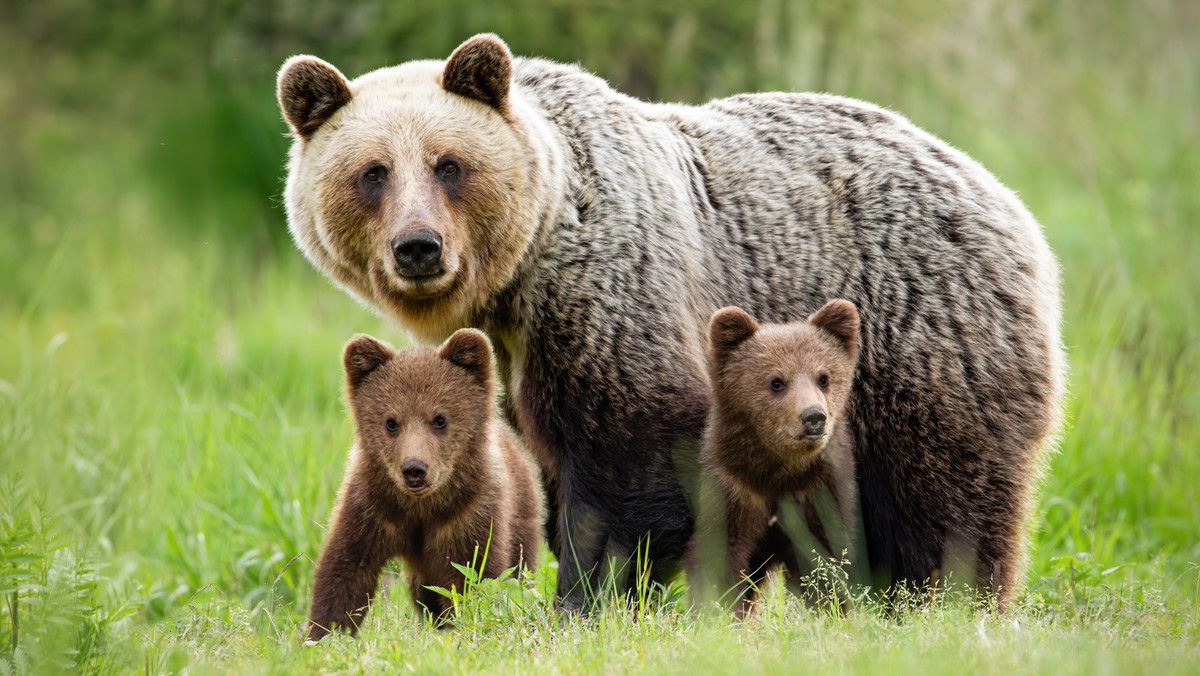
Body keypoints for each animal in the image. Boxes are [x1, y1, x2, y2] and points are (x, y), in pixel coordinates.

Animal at [304, 331, 544, 643]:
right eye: (391, 422)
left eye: (440, 418)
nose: (414, 469)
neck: (421, 507)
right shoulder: (371, 508)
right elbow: (345, 570)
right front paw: (322, 634)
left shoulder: (469, 514)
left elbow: (475, 575)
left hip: (521, 512)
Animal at [686, 298, 864, 614]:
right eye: (777, 382)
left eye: (824, 377)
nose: (814, 417)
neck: (777, 475)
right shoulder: (734, 489)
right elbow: (720, 556)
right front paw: (717, 609)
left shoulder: (818, 491)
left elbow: (825, 560)